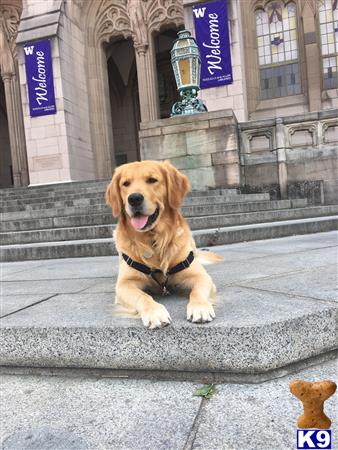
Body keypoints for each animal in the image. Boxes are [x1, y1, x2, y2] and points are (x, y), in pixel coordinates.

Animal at [105, 160, 222, 328]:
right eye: (125, 183)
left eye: (152, 180)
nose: (134, 198)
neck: (153, 239)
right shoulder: (124, 285)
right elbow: (142, 296)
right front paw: (154, 312)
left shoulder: (200, 276)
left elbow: (197, 291)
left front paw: (200, 307)